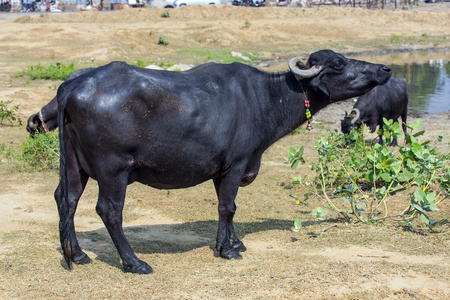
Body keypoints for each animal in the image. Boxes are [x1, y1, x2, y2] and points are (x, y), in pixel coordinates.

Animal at [56, 49, 392, 274]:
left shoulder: (222, 169)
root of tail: (74, 85)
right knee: (109, 211)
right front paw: (227, 250)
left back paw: (78, 255)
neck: (266, 98)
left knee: (66, 199)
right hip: (113, 169)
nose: (386, 69)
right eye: (339, 64)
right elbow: (227, 206)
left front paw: (234, 241)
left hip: (74, 163)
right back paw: (134, 262)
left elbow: (228, 207)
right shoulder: (237, 163)